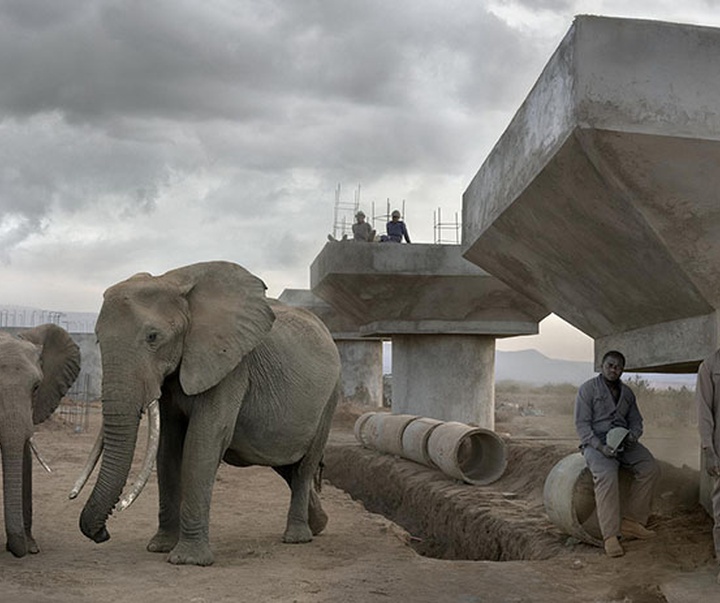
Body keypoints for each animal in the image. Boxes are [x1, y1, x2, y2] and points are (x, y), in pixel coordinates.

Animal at [77, 260, 342, 568]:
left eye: (153, 337)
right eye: (96, 339)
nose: (102, 533)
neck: (173, 280)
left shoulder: (231, 365)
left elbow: (202, 441)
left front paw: (187, 560)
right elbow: (168, 449)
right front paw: (160, 547)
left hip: (330, 398)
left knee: (303, 467)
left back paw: (297, 537)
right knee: (284, 463)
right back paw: (320, 524)